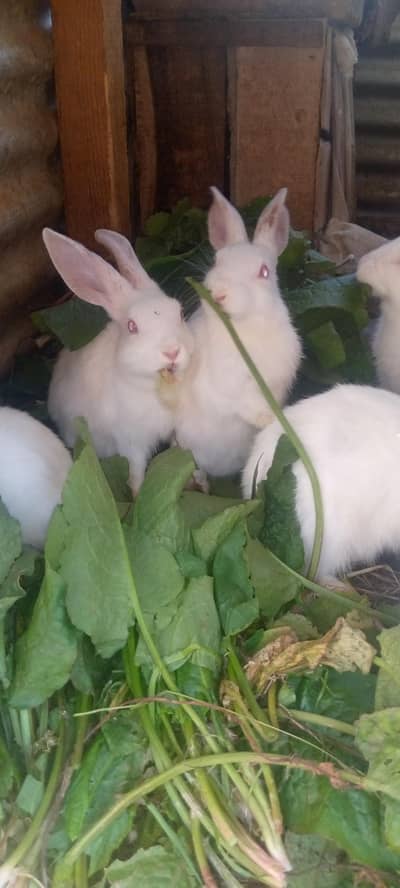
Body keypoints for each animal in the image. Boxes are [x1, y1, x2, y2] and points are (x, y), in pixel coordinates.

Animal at [43, 228, 194, 495]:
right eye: (132, 326)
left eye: (180, 313)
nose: (172, 352)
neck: (155, 389)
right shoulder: (130, 443)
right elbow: (136, 472)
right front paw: (136, 495)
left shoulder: (176, 431)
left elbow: (185, 454)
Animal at [167, 187, 302, 478]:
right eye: (217, 261)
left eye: (264, 272)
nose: (219, 292)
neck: (244, 328)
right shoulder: (226, 387)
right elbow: (242, 402)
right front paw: (269, 418)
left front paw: (275, 420)